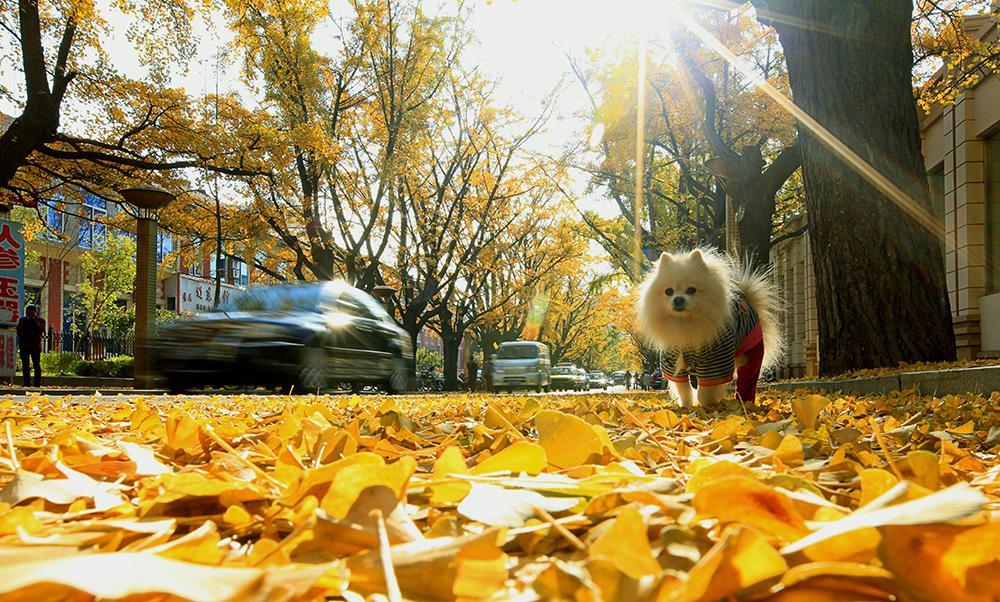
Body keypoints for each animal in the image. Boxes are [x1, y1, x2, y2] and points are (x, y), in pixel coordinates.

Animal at [640, 246, 780, 406]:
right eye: (669, 291)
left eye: (691, 290)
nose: (678, 299)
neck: (686, 324)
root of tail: (746, 300)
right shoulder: (674, 363)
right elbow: (684, 390)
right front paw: (686, 406)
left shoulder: (714, 363)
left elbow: (705, 392)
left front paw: (707, 405)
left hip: (752, 352)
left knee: (748, 378)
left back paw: (745, 403)